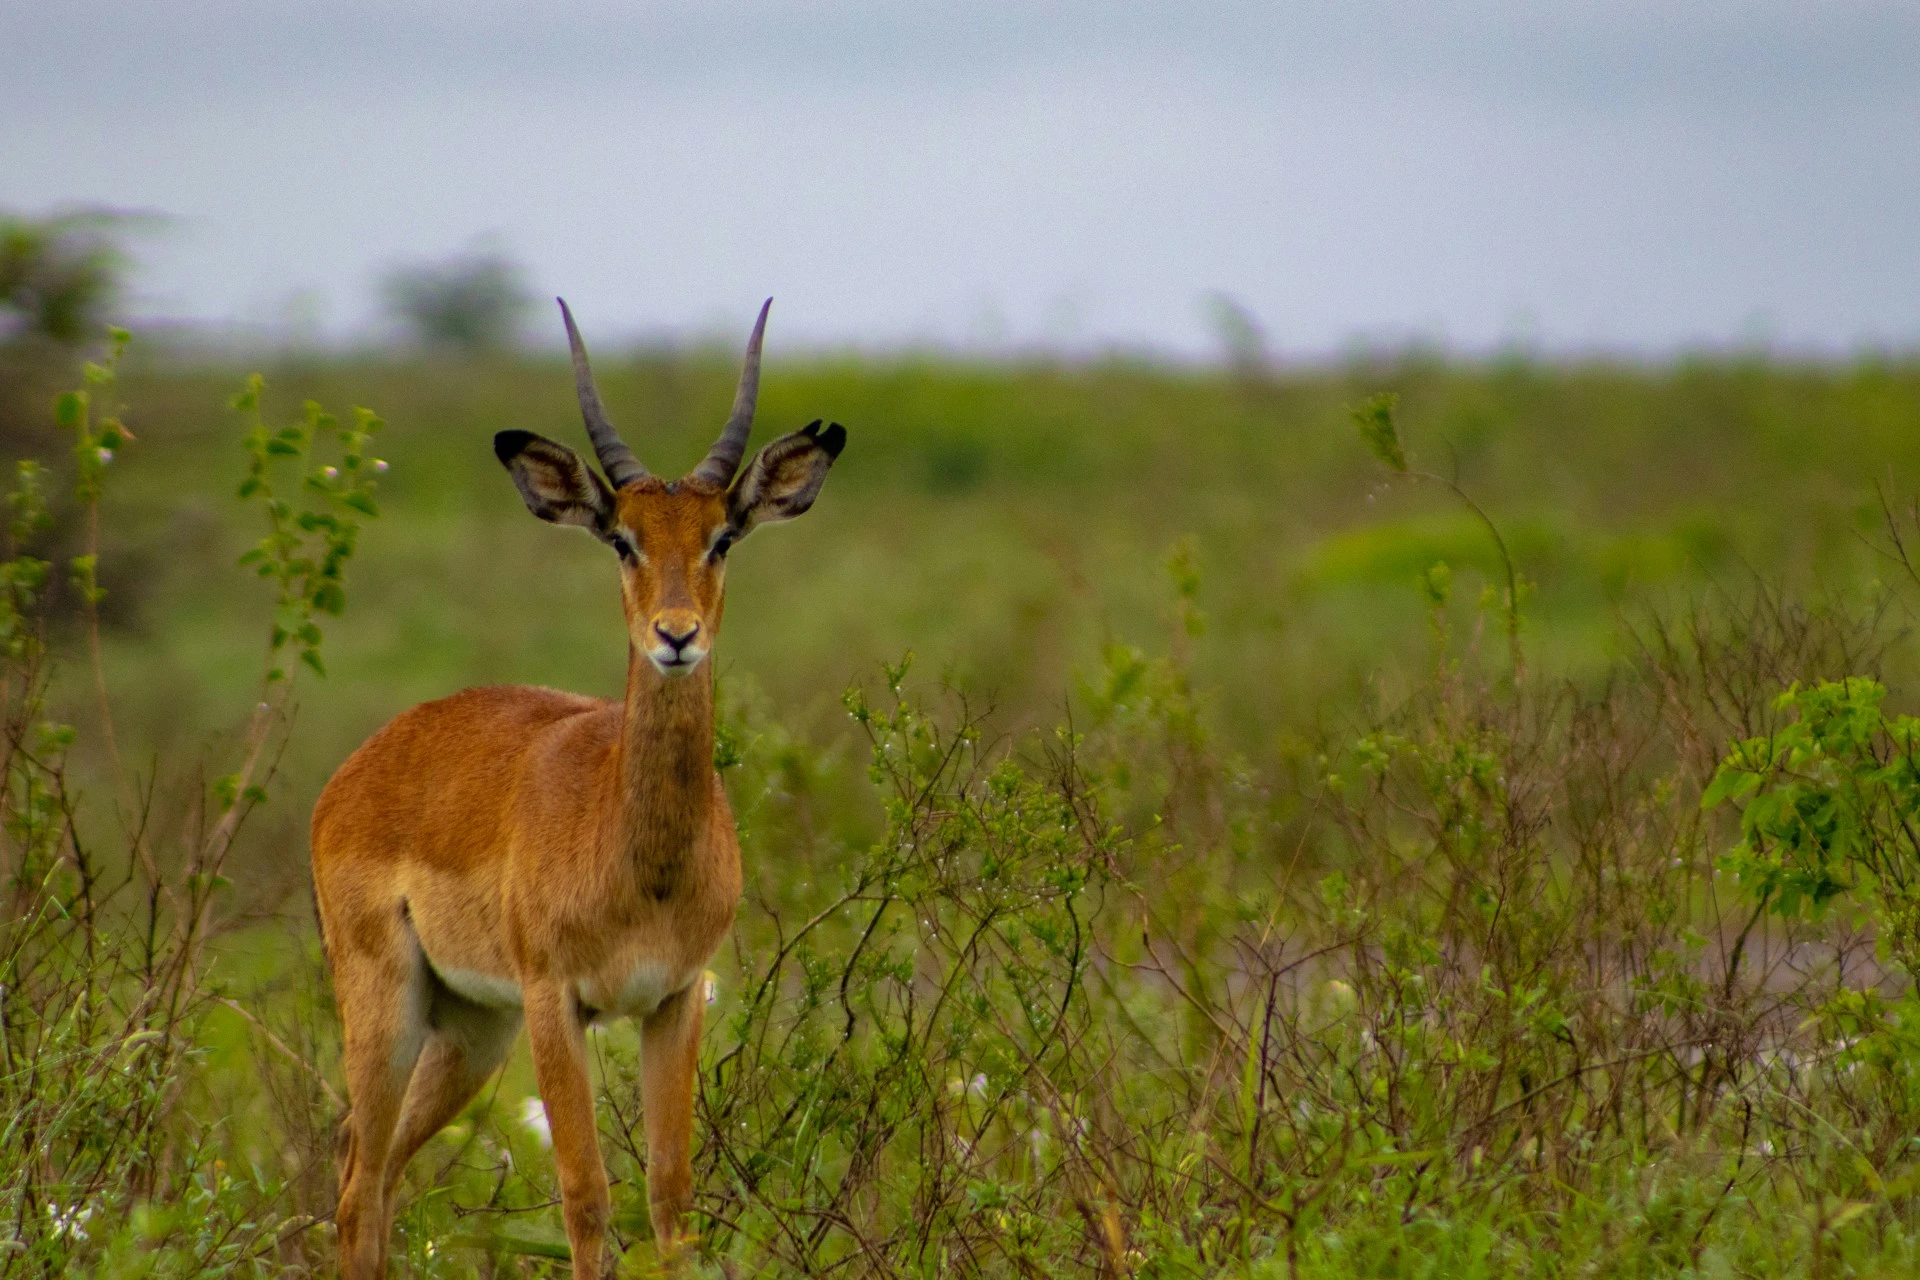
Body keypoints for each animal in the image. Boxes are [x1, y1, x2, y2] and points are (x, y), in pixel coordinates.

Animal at [311, 298, 844, 1278]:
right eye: (623, 540)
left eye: (721, 537)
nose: (676, 636)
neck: (639, 859)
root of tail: (360, 766)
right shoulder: (557, 1003)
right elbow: (586, 1196)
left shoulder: (675, 997)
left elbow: (670, 1195)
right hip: (390, 1004)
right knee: (359, 1184)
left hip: (472, 1029)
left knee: (368, 1160)